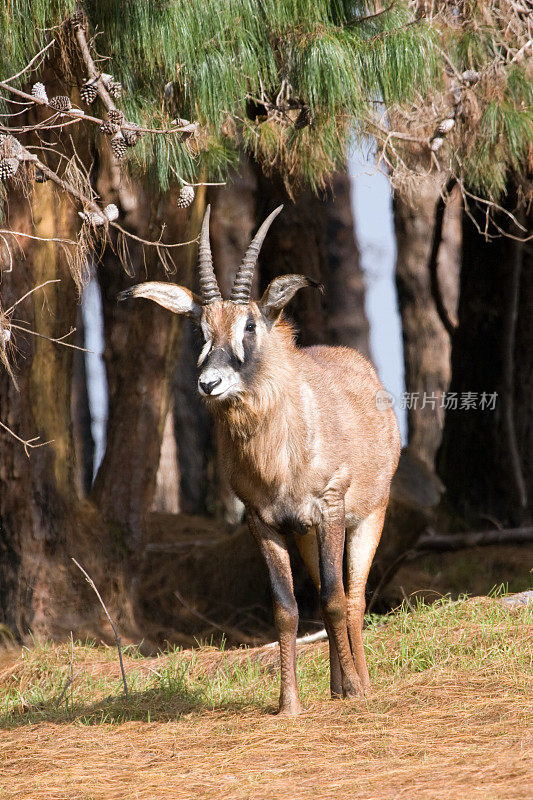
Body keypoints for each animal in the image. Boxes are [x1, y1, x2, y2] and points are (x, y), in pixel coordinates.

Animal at [119, 205, 400, 712]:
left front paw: (352, 692)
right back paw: (335, 686)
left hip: (368, 516)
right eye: (200, 329)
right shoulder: (263, 521)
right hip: (306, 536)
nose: (209, 383)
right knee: (323, 594)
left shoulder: (329, 508)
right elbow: (286, 609)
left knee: (351, 597)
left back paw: (359, 685)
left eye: (249, 325)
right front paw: (290, 705)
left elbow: (335, 599)